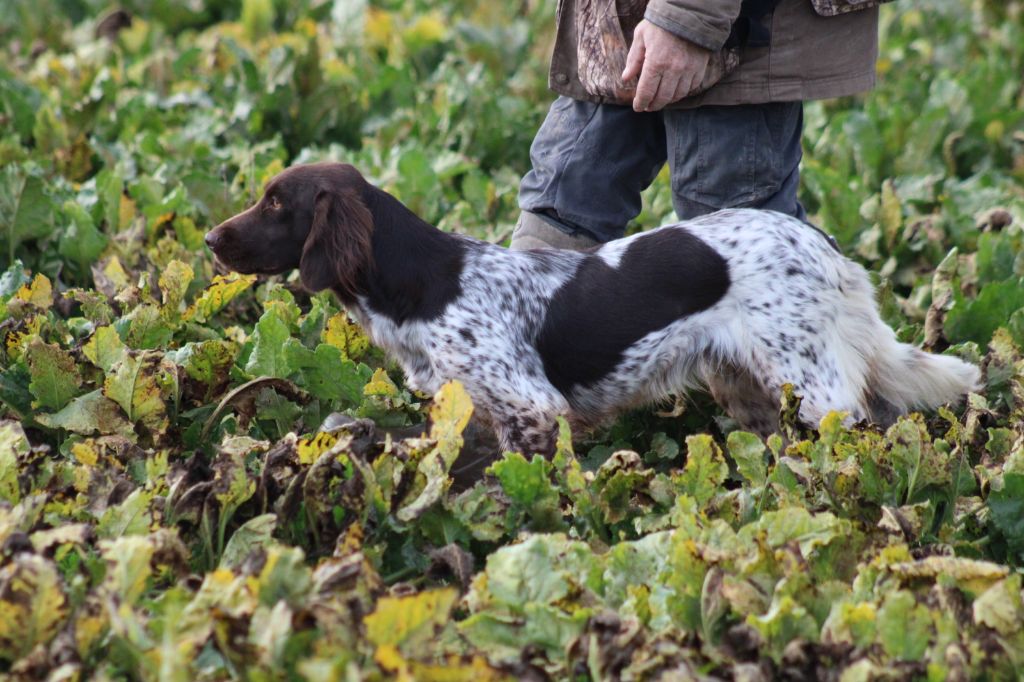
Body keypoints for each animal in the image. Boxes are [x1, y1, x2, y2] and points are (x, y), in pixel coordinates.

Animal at [203, 161, 978, 454]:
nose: (209, 238)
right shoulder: (472, 411)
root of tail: (825, 245)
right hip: (749, 386)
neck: (429, 282)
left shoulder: (533, 409)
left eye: (276, 203)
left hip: (815, 387)